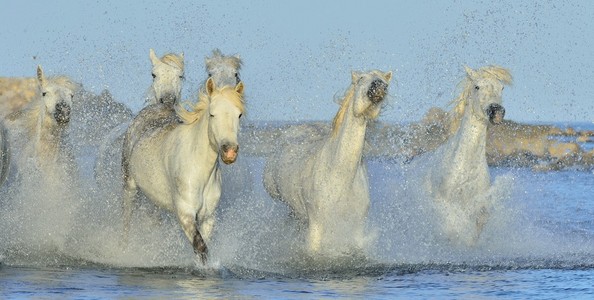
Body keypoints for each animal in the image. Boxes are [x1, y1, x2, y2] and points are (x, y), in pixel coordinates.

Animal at [121, 77, 244, 262]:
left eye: (239, 115)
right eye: (212, 114)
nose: (229, 151)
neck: (199, 170)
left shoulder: (208, 218)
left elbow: (203, 245)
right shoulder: (185, 214)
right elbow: (200, 247)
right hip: (130, 186)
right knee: (126, 220)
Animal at [262, 71, 390, 255]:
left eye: (385, 81)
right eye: (361, 78)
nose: (378, 86)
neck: (339, 175)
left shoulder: (357, 229)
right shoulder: (316, 227)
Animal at [414, 65, 512, 246]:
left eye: (501, 87)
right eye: (477, 87)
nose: (496, 111)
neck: (465, 167)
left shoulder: (479, 207)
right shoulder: (445, 205)